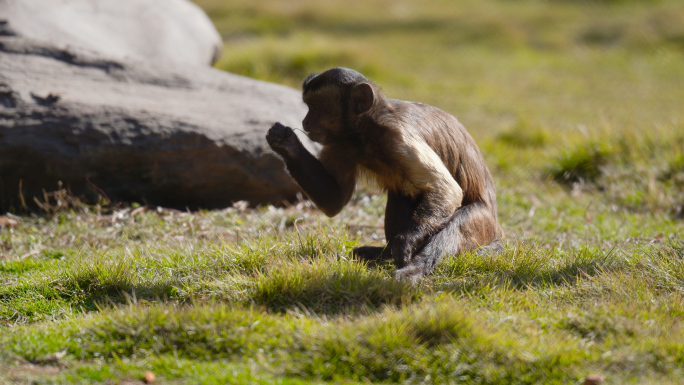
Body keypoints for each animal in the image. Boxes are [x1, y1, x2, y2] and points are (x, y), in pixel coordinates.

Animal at [266, 67, 502, 282]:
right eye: (309, 107)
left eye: (317, 107)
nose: (305, 121)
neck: (365, 133)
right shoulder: (339, 143)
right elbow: (334, 201)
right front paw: (287, 144)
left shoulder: (398, 136)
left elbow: (446, 189)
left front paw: (406, 242)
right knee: (402, 194)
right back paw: (384, 253)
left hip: (484, 222)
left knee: (454, 224)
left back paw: (412, 269)